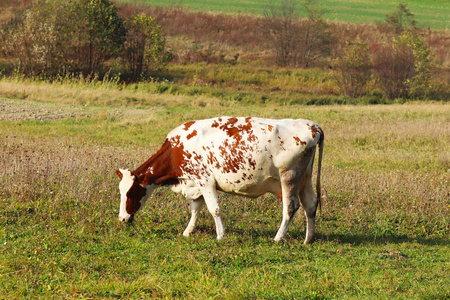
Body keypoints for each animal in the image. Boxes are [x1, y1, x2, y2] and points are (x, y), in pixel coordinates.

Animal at [116, 116, 324, 245]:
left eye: (131, 192)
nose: (122, 218)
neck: (178, 148)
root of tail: (310, 124)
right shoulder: (197, 183)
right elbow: (195, 209)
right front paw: (188, 231)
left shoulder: (205, 180)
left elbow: (213, 209)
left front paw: (220, 235)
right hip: (305, 178)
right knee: (311, 204)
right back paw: (308, 239)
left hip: (289, 177)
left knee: (290, 207)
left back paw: (278, 238)